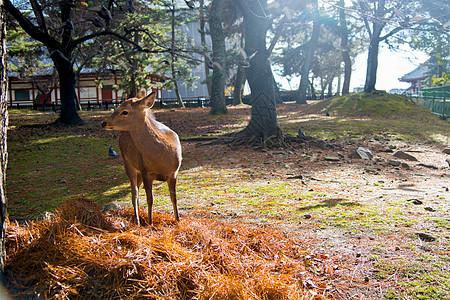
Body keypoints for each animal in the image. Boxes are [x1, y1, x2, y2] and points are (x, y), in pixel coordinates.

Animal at [100, 92, 181, 225]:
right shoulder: (146, 171)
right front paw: (150, 223)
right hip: (128, 162)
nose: (104, 123)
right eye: (116, 107)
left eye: (124, 111)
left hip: (138, 170)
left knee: (137, 190)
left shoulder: (174, 172)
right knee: (134, 192)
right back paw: (137, 220)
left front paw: (178, 220)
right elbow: (150, 199)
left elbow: (173, 197)